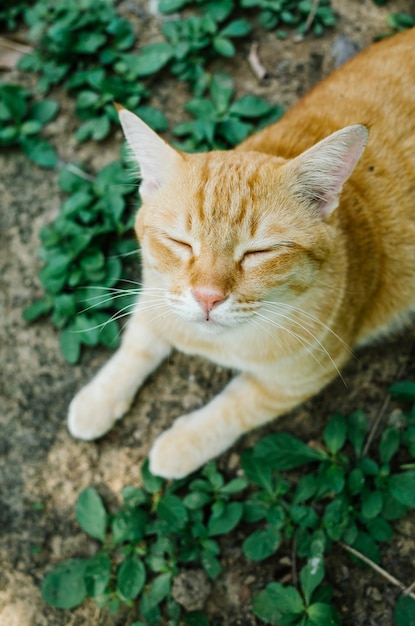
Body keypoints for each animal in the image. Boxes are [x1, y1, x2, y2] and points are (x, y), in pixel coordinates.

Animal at [68, 26, 415, 478]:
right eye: (181, 242)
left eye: (258, 253)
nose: (207, 298)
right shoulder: (155, 292)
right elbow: (136, 345)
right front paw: (98, 399)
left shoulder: (299, 379)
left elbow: (234, 409)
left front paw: (180, 446)